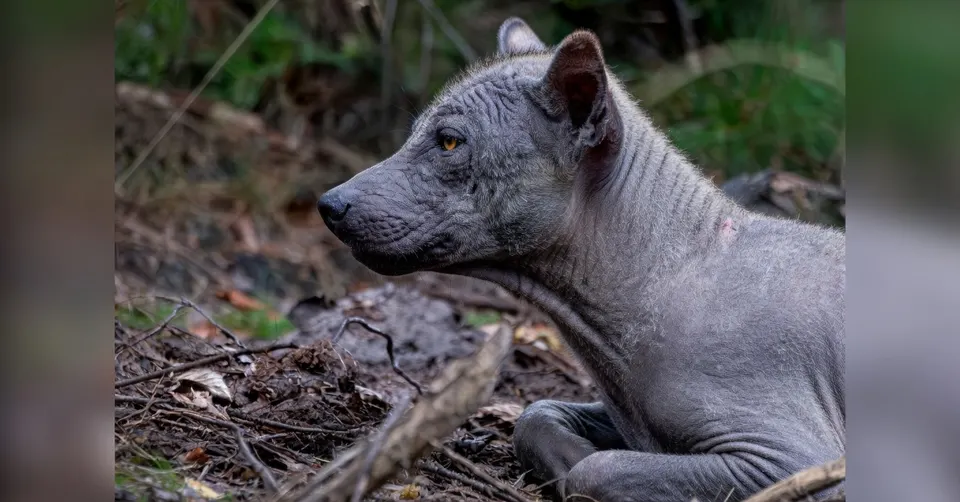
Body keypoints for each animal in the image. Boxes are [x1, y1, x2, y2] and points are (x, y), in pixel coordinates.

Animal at [316, 17, 845, 502]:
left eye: (448, 141)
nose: (328, 204)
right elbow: (533, 416)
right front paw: (568, 456)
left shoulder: (794, 458)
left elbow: (597, 471)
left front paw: (580, 467)